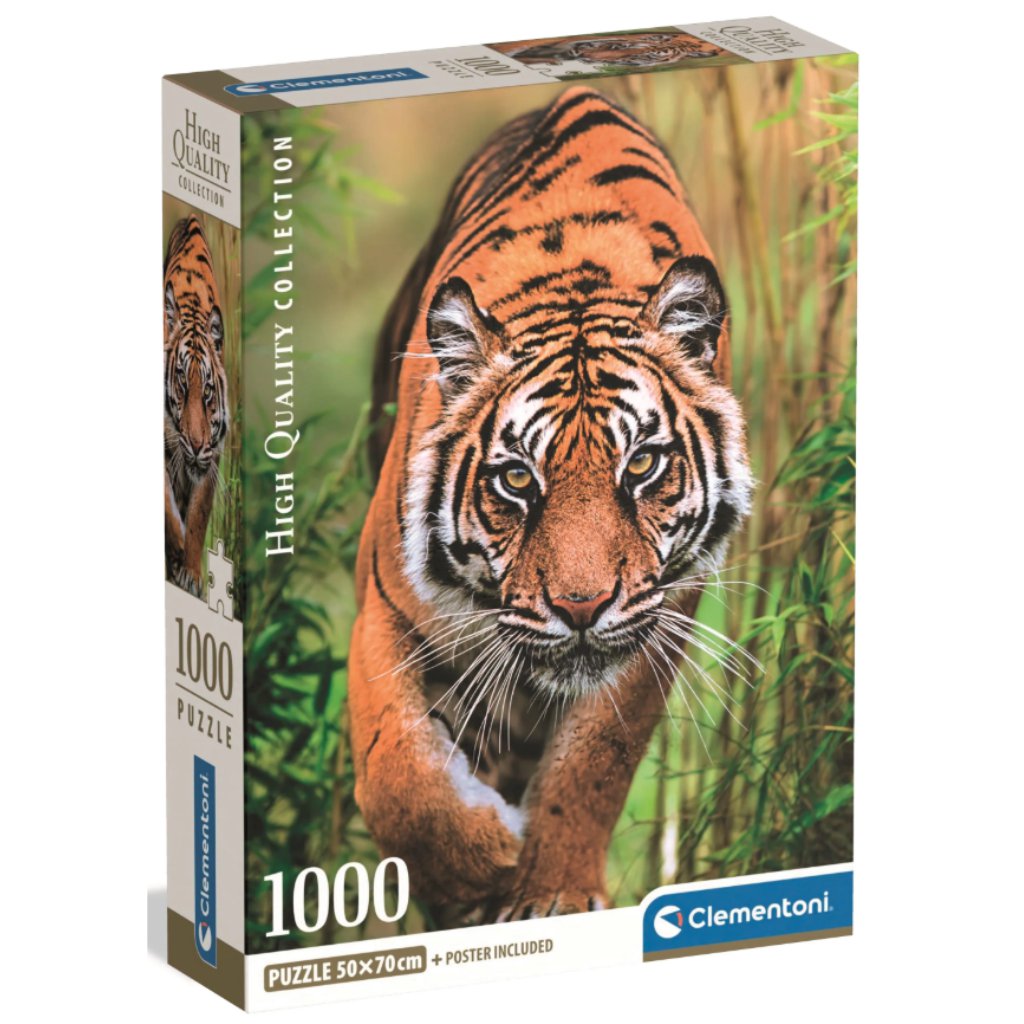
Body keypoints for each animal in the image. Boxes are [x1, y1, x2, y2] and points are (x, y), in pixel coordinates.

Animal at [350, 86, 752, 920]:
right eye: (516, 480)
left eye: (643, 465)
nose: (580, 607)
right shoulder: (386, 606)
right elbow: (397, 774)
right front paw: (476, 865)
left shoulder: (658, 617)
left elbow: (594, 760)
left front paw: (554, 894)